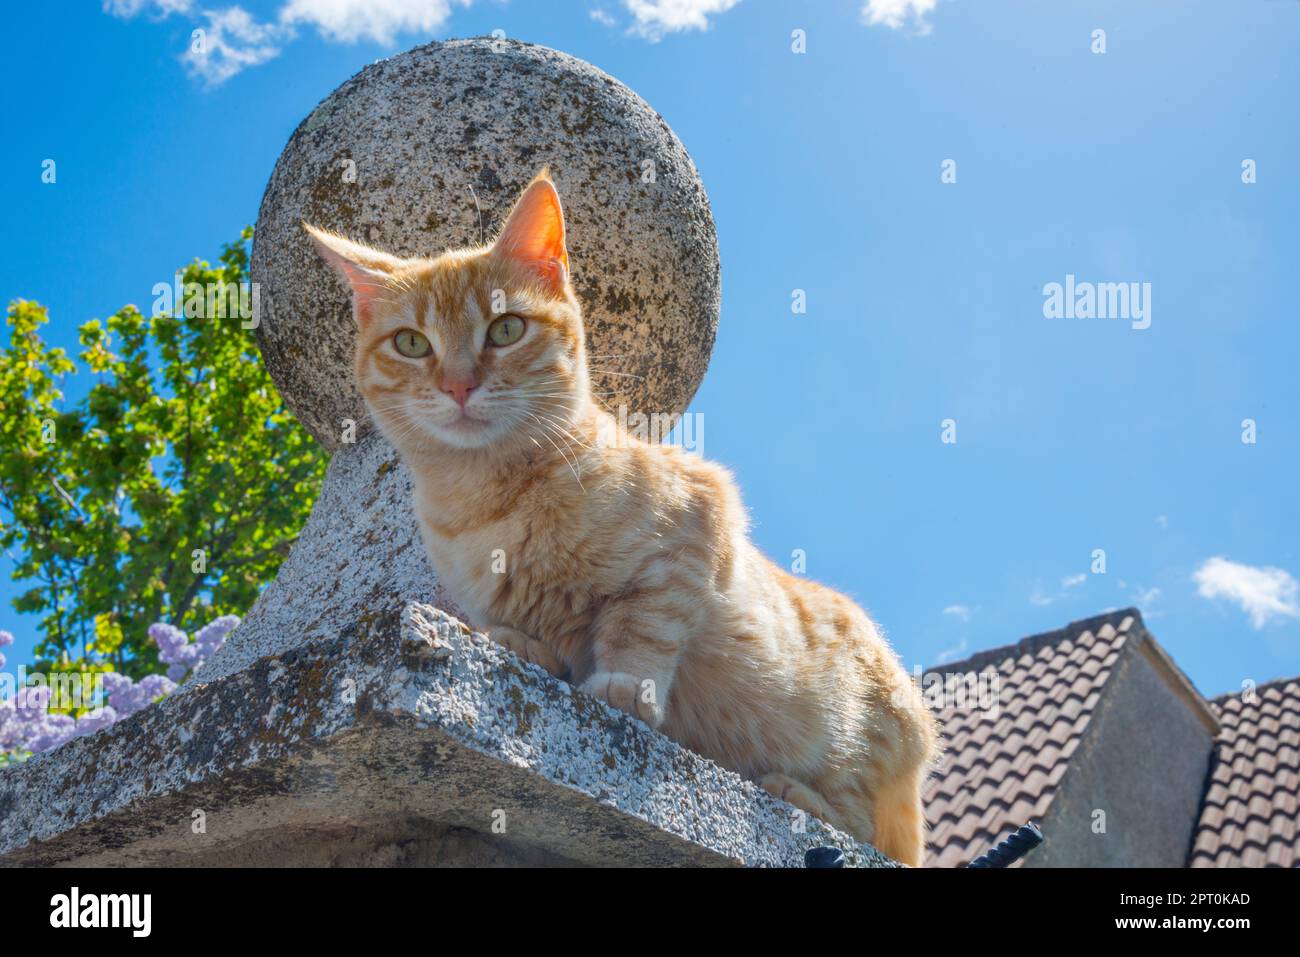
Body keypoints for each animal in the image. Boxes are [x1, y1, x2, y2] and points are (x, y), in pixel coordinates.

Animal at [304, 171, 935, 868]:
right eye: (412, 344)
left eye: (505, 329)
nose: (459, 386)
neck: (486, 499)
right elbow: (517, 625)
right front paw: (521, 643)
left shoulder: (698, 521)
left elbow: (643, 623)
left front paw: (624, 687)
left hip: (853, 742)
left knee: (855, 821)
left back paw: (797, 794)